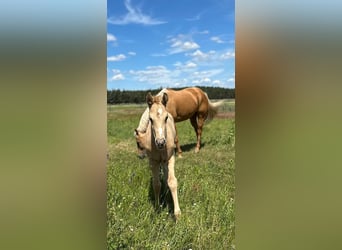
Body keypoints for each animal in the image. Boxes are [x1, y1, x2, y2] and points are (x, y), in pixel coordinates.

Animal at [135, 92, 182, 221]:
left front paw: (177, 214)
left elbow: (172, 182)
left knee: (166, 177)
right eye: (151, 119)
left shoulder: (170, 158)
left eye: (166, 118)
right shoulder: (153, 161)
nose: (160, 142)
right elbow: (156, 184)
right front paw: (157, 208)